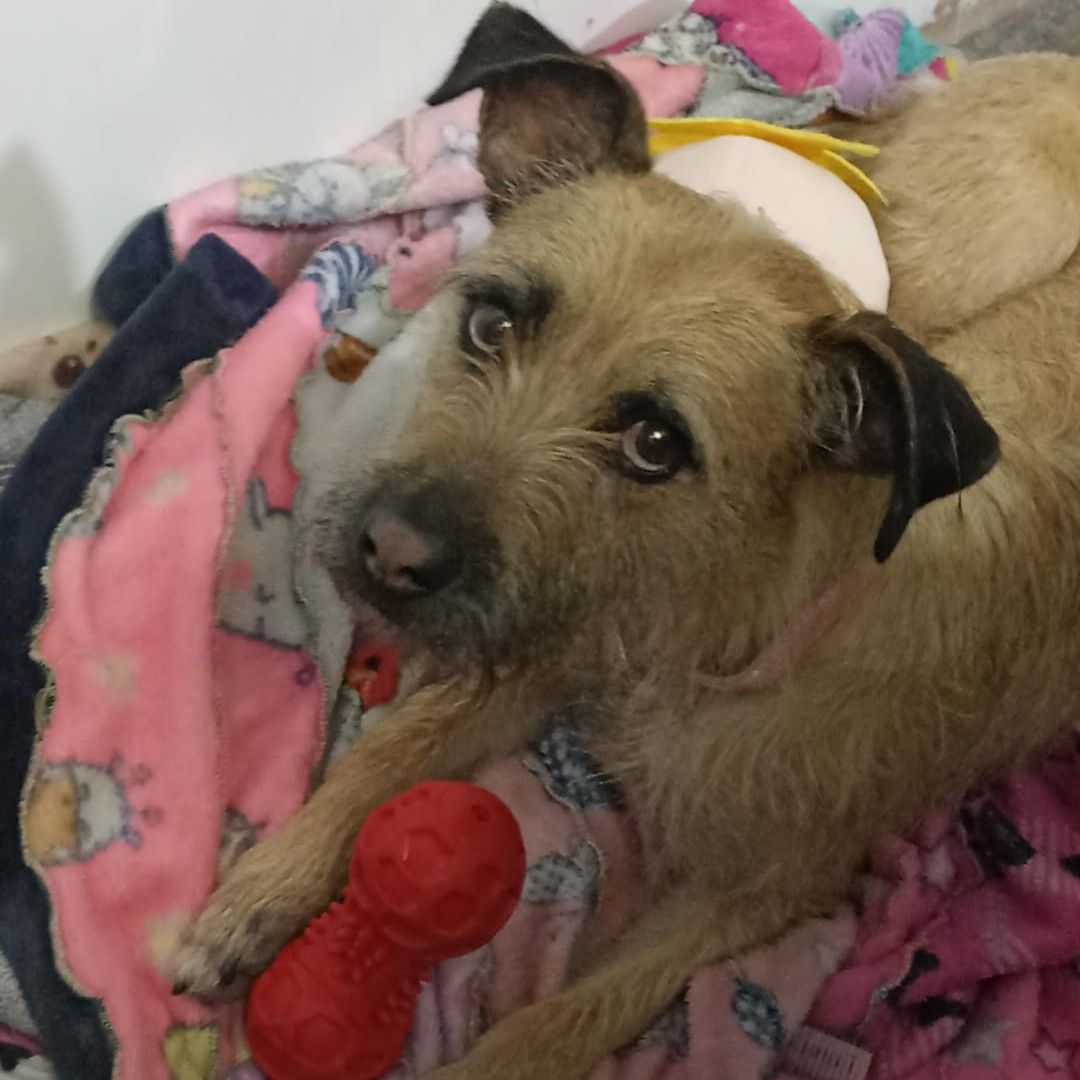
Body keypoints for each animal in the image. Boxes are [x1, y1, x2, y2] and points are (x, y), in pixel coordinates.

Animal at [169, 8, 1080, 1077]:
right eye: (491, 322)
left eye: (655, 445)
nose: (389, 552)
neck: (712, 606)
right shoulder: (550, 644)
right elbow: (391, 749)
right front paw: (260, 894)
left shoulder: (756, 895)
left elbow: (564, 1021)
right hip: (933, 257)